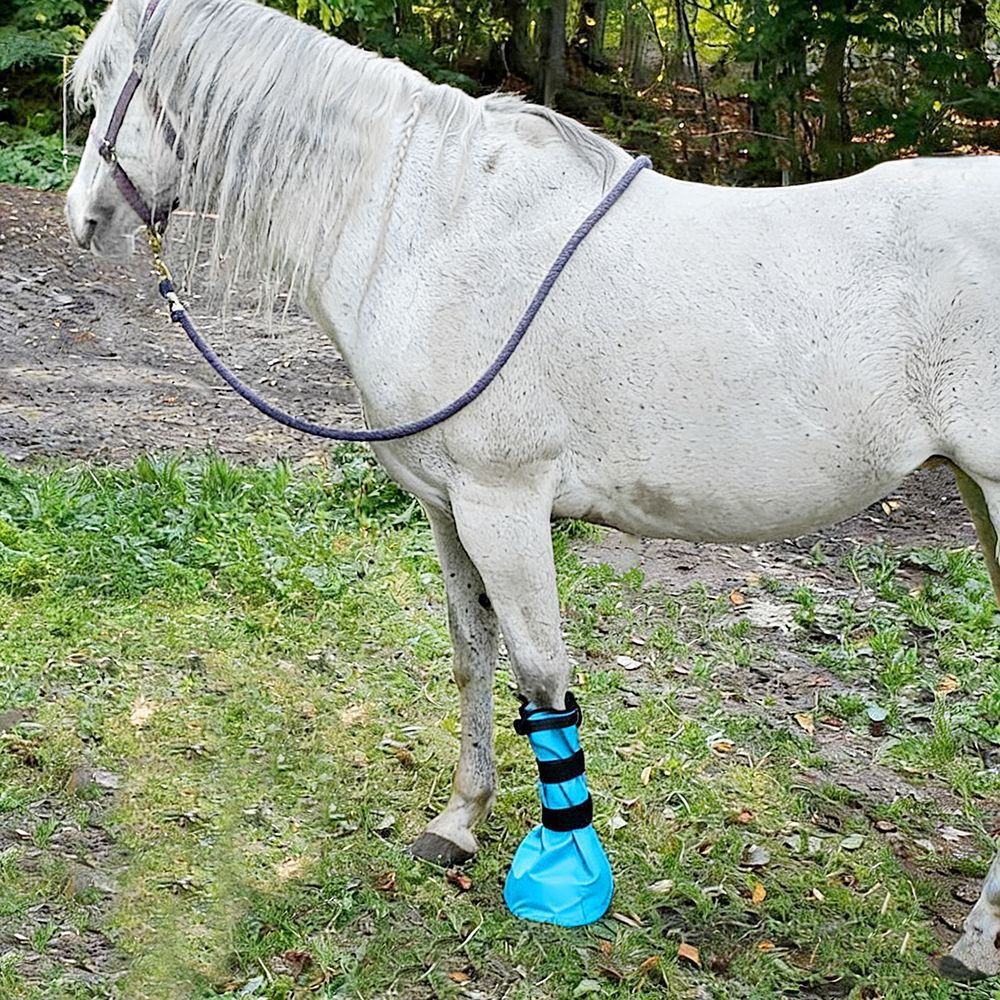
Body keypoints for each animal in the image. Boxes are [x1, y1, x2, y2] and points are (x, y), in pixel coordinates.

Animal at [65, 0, 1000, 979]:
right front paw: (458, 823)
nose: (80, 218)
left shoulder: (502, 503)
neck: (427, 228)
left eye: (102, 89)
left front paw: (566, 870)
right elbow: (474, 656)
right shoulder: (448, 507)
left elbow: (542, 672)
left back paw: (976, 940)